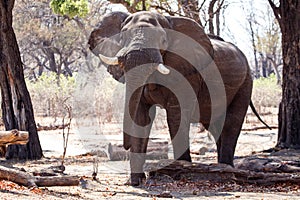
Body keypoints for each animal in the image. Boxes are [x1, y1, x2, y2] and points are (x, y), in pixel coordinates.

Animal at [88, 10, 255, 186]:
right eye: (121, 38)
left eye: (163, 40)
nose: (124, 146)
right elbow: (142, 117)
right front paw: (135, 182)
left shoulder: (187, 72)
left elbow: (177, 116)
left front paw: (181, 171)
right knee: (215, 125)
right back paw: (221, 167)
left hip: (245, 82)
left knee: (231, 122)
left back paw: (227, 169)